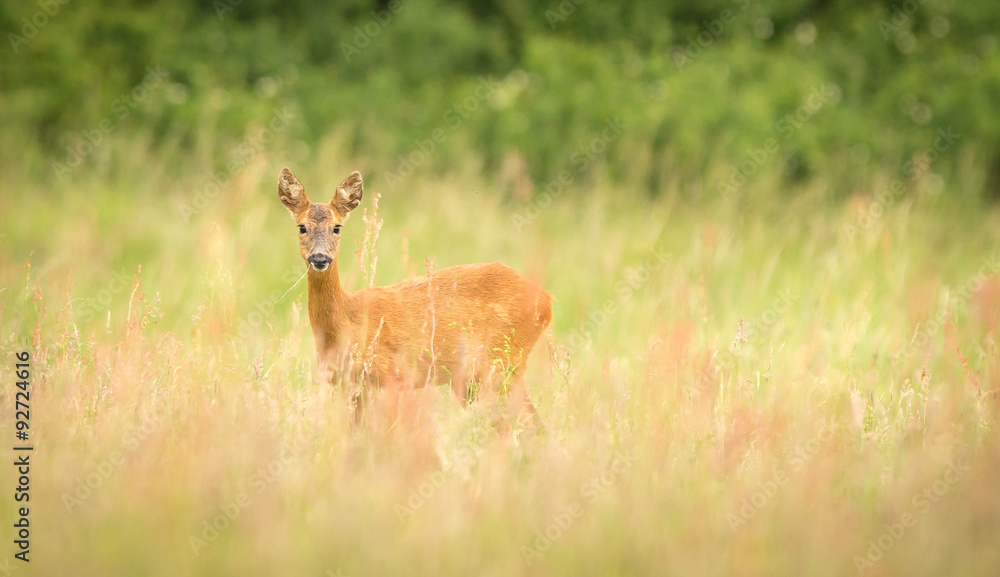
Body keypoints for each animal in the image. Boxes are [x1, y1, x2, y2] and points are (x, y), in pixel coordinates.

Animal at [278, 166, 552, 428]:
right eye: (302, 227)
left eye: (336, 227)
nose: (320, 258)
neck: (348, 320)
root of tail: (548, 300)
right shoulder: (346, 386)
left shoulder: (389, 376)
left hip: (503, 363)